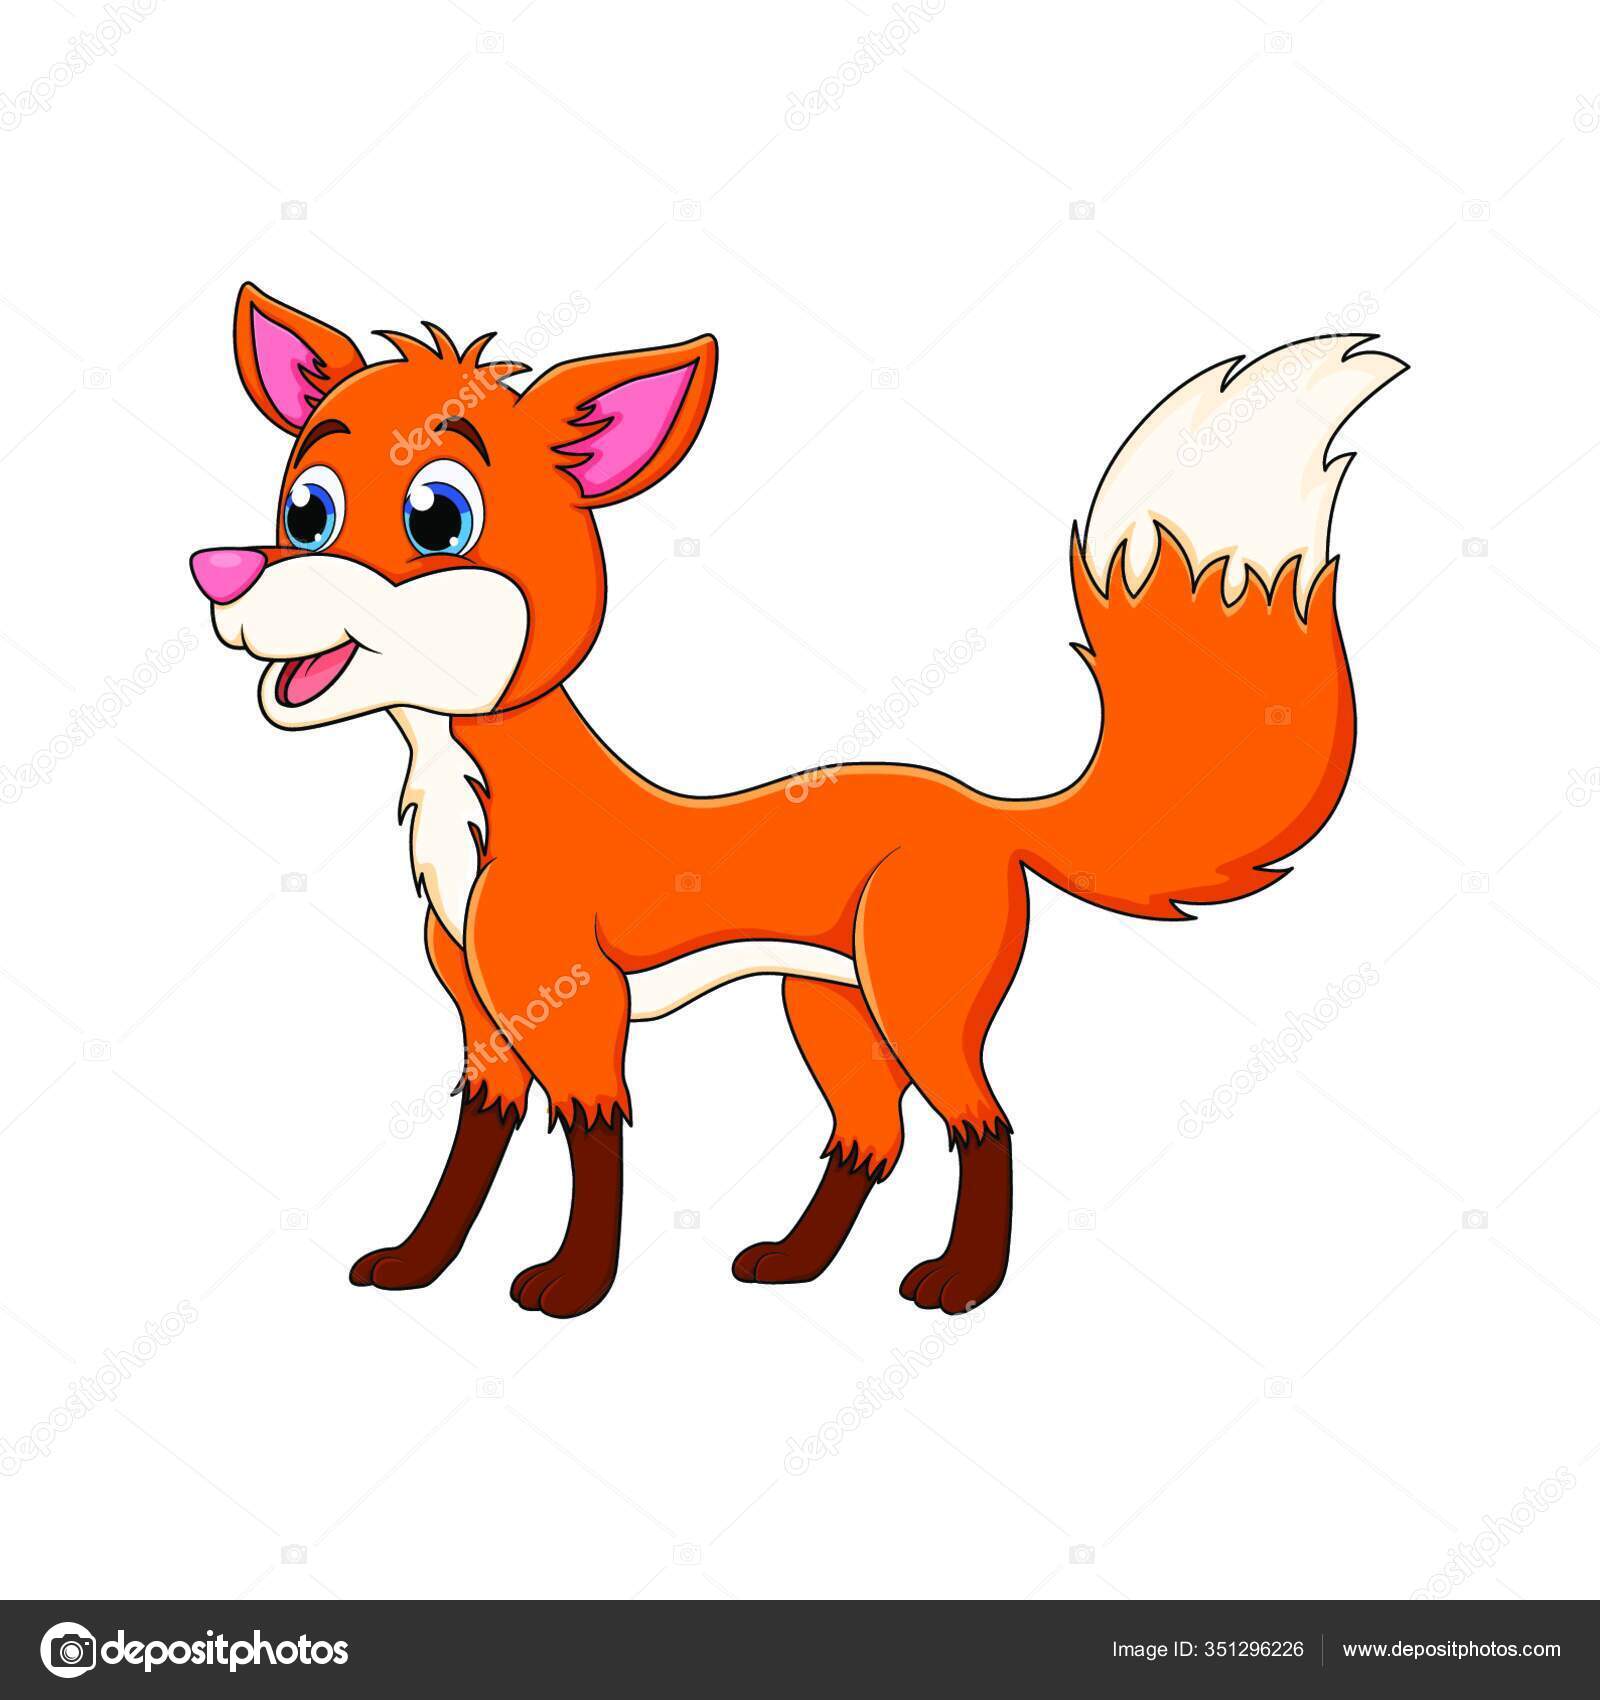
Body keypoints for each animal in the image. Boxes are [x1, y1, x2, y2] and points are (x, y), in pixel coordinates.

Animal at [192, 284, 1403, 1317]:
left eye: (438, 518)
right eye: (306, 509)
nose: (220, 576)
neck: (467, 804)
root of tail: (984, 806)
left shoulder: (577, 1011)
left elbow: (594, 1145)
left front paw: (575, 1285)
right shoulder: (485, 1019)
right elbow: (469, 1157)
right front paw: (418, 1265)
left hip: (917, 1007)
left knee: (984, 1125)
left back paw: (961, 1284)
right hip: (831, 1012)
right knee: (873, 1139)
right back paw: (796, 1262)